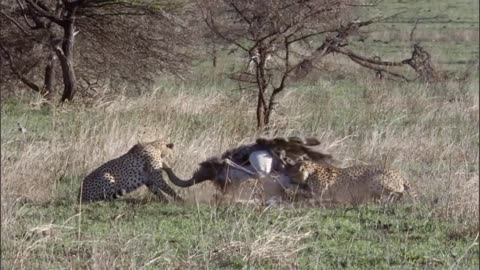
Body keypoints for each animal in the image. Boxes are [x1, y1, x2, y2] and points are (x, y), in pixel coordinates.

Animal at [284, 160, 416, 207]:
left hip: (375, 180)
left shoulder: (320, 195)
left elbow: (304, 196)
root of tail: (399, 174)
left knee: (399, 192)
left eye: (292, 170)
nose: (286, 174)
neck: (312, 170)